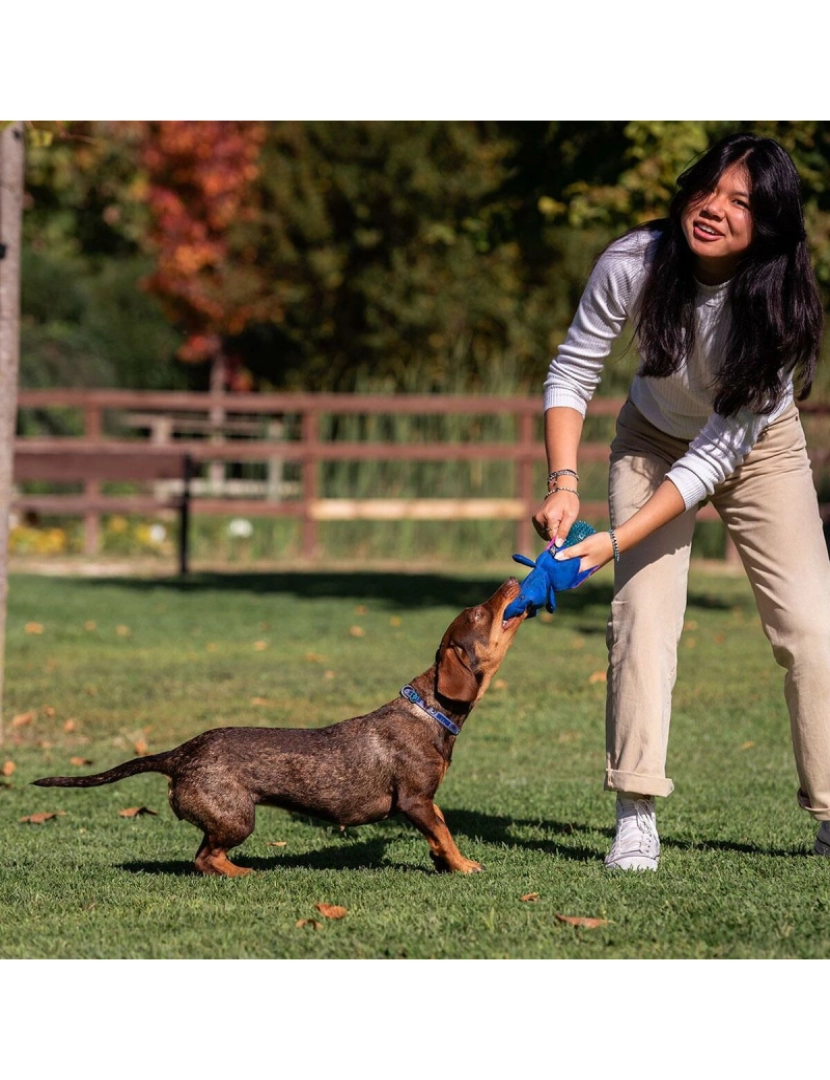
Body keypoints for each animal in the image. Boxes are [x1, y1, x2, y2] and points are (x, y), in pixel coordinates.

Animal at [35, 578, 524, 872]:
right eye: (478, 613)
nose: (511, 581)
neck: (431, 710)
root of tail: (179, 754)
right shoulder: (415, 801)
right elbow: (443, 830)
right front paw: (463, 866)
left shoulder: (426, 803)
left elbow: (441, 834)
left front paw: (445, 862)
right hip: (238, 818)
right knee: (205, 858)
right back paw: (242, 871)